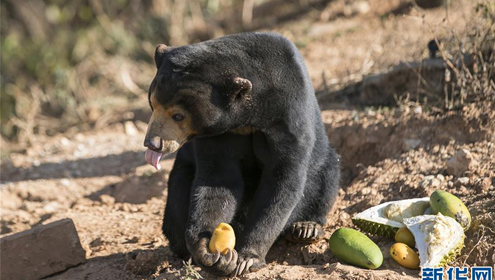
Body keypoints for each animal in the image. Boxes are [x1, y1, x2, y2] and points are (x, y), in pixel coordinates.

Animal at [141, 31, 340, 276]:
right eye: (152, 103)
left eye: (178, 115)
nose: (152, 144)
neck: (248, 118)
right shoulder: (220, 134)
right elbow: (218, 179)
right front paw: (208, 252)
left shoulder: (289, 116)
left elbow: (282, 181)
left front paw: (248, 258)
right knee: (178, 199)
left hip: (324, 164)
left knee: (327, 175)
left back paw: (306, 229)